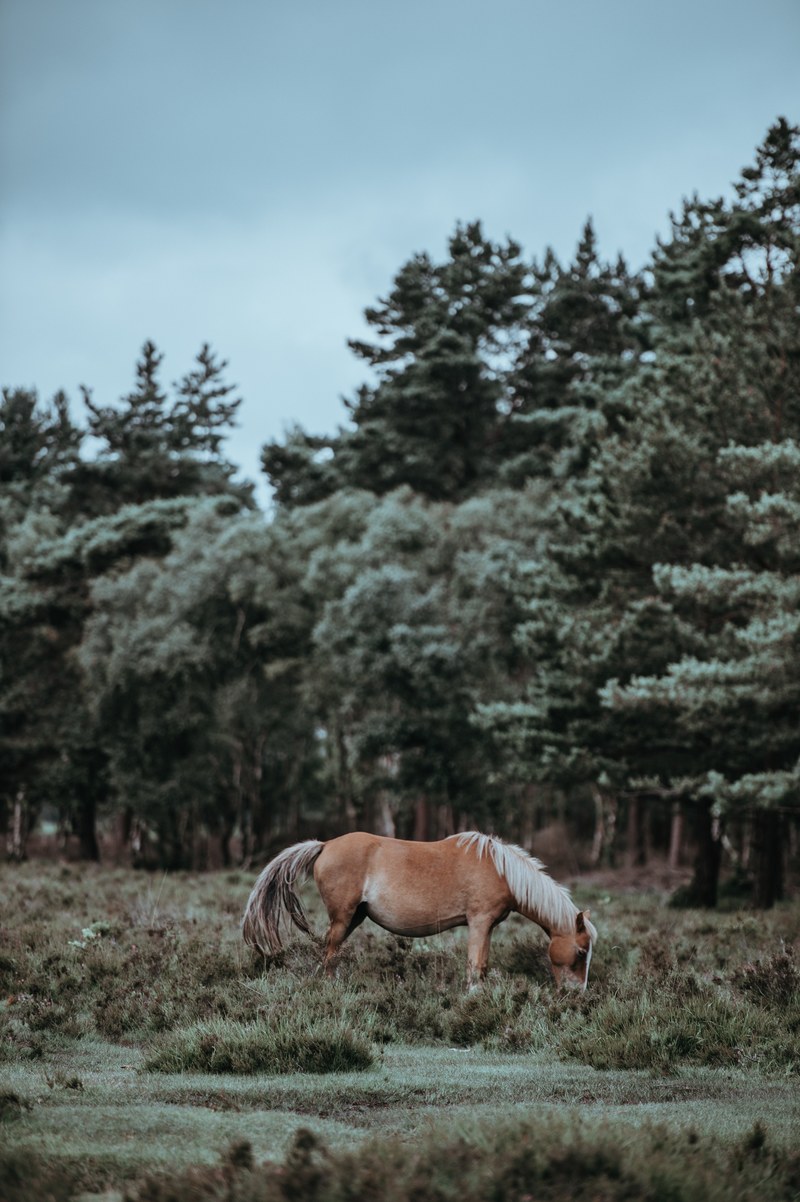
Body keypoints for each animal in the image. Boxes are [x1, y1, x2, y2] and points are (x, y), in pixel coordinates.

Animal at [242, 831, 597, 990]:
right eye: (581, 952)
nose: (577, 993)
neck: (500, 870)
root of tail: (325, 845)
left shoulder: (488, 927)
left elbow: (480, 964)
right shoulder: (479, 922)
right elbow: (475, 966)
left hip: (355, 917)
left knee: (330, 953)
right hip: (342, 918)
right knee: (330, 955)